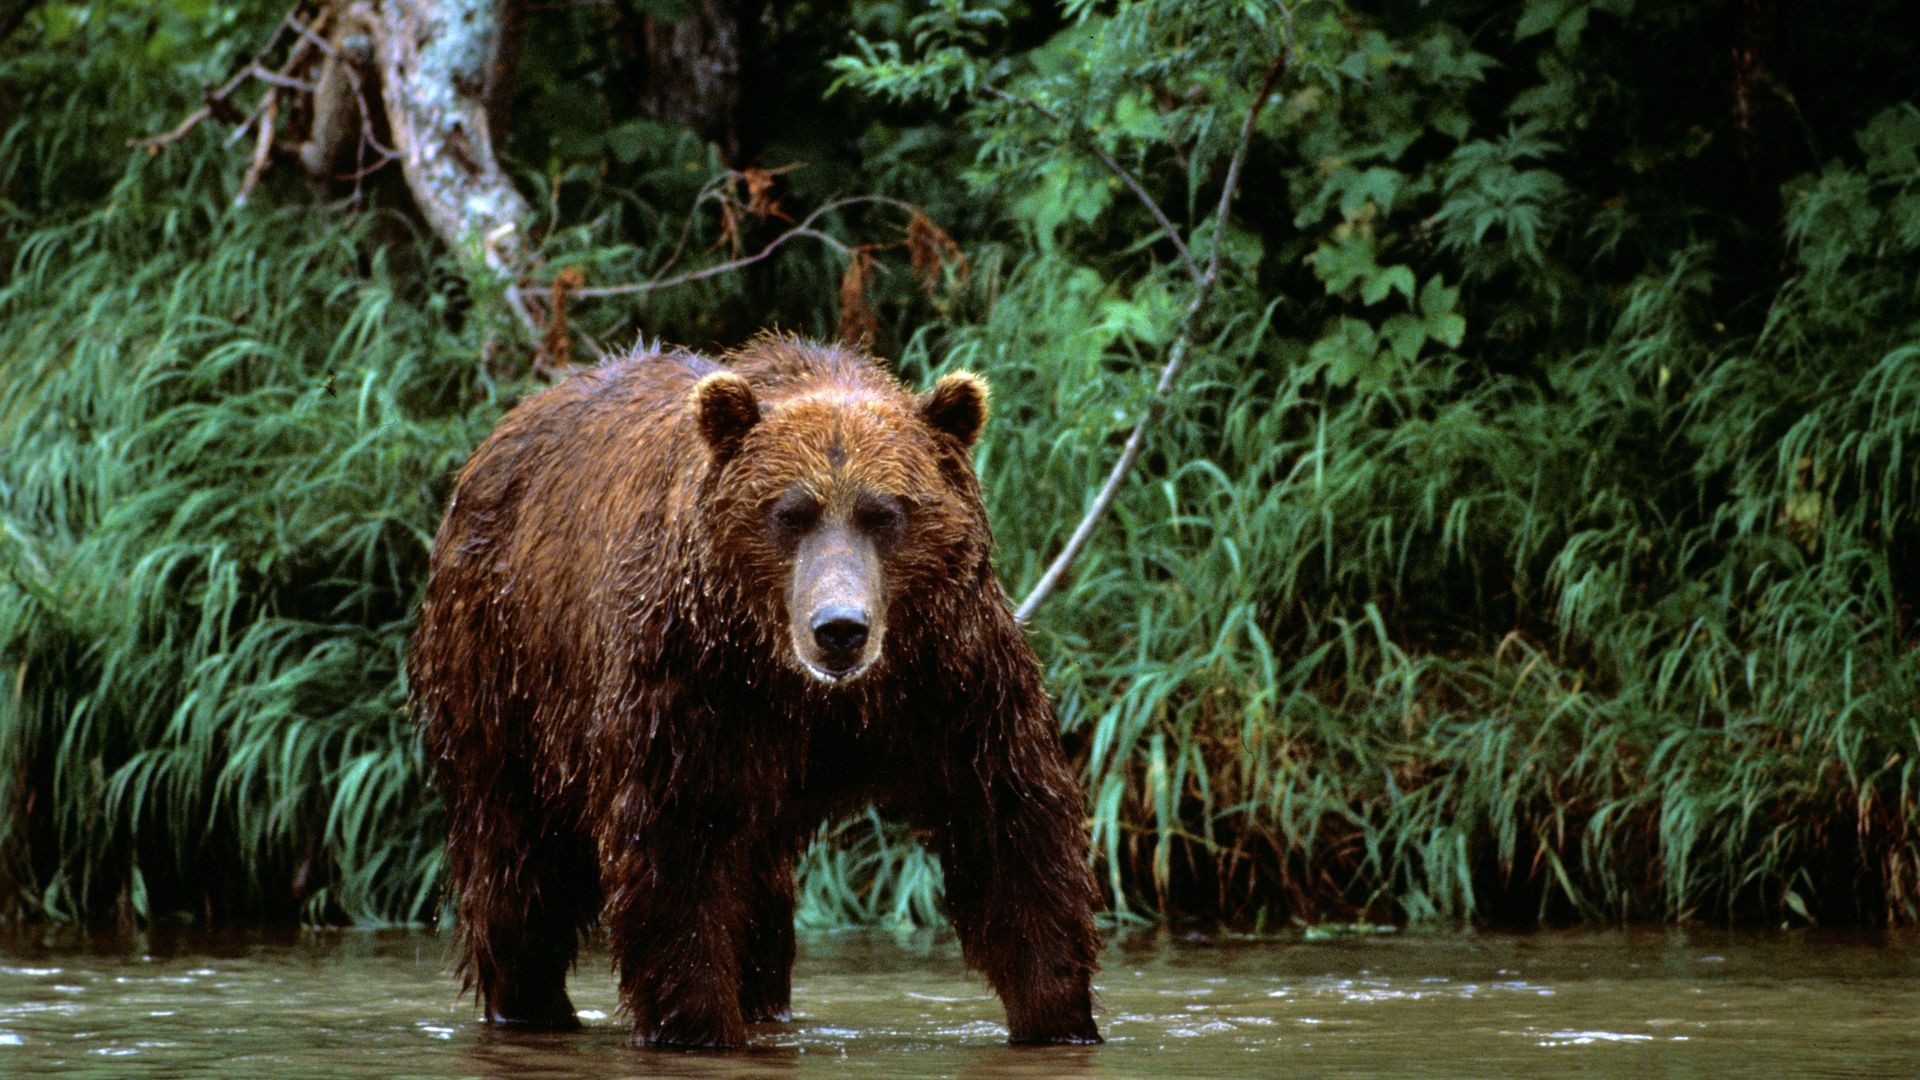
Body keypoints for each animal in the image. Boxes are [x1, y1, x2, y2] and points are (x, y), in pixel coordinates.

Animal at [408, 335, 1103, 1048]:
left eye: (884, 514)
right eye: (790, 513)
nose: (840, 628)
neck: (810, 692)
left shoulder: (950, 677)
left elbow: (1010, 830)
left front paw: (1058, 1015)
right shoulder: (692, 684)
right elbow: (675, 854)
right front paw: (698, 1024)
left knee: (758, 896)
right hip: (506, 674)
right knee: (518, 865)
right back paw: (531, 1003)